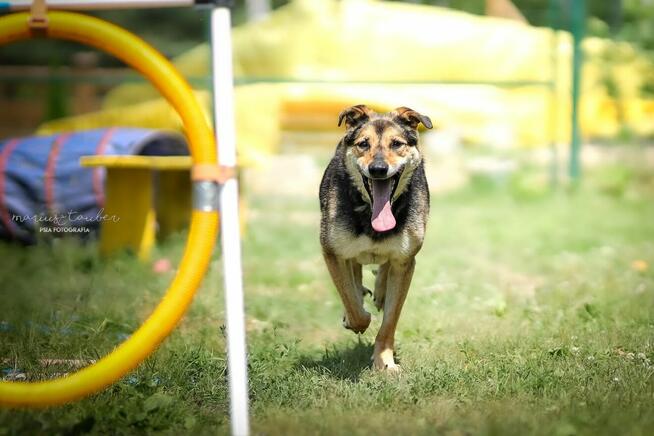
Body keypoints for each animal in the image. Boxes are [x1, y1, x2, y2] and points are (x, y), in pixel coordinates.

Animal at [320, 104, 434, 370]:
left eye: (396, 144)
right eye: (363, 144)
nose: (378, 170)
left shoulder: (405, 262)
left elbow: (390, 321)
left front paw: (384, 362)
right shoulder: (332, 252)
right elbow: (351, 301)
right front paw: (356, 319)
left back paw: (380, 291)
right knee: (354, 274)